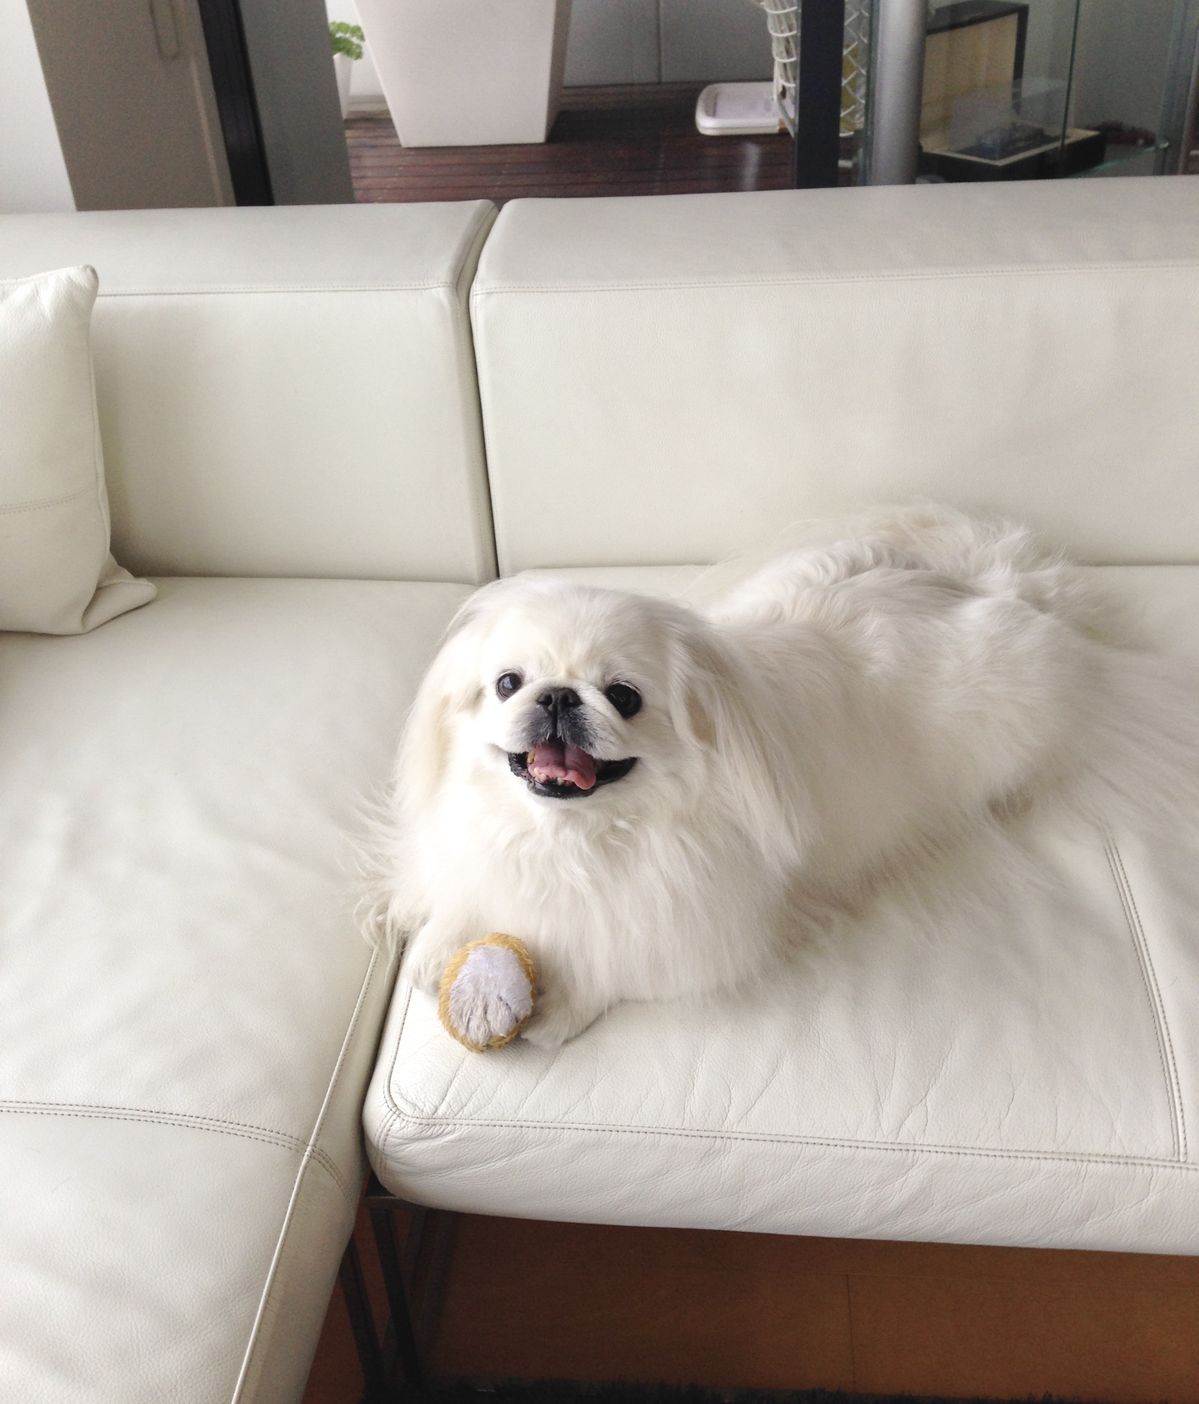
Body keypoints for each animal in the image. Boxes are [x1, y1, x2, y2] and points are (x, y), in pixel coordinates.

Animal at [375, 506, 1198, 1047]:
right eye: (508, 684)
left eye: (624, 697)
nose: (555, 698)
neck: (571, 837)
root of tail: (996, 590)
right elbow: (461, 896)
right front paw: (440, 944)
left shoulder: (702, 927)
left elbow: (625, 961)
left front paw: (557, 1009)